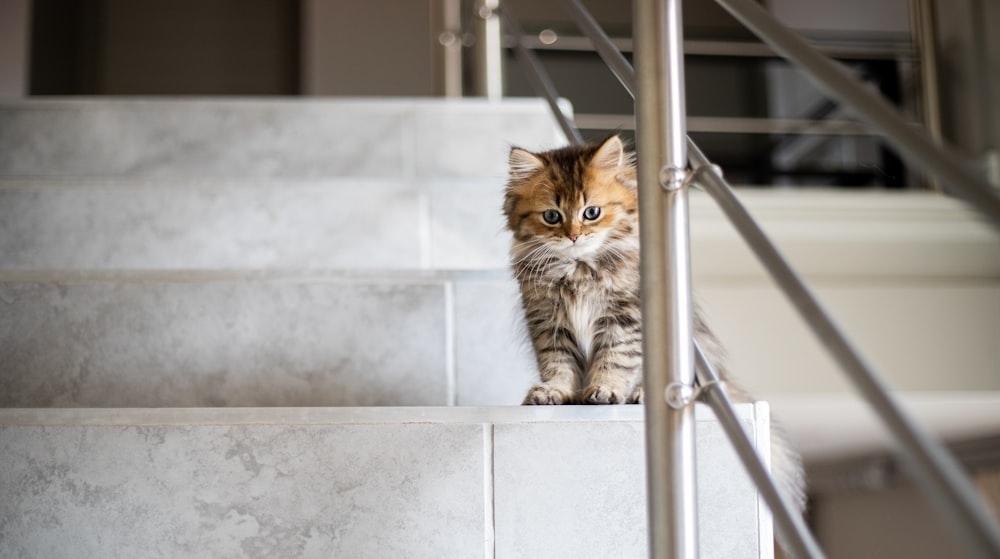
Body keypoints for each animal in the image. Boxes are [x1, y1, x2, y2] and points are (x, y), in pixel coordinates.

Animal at [500, 136, 804, 512]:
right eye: (552, 217)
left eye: (591, 213)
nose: (573, 236)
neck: (578, 269)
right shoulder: (549, 324)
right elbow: (557, 366)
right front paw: (554, 392)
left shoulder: (623, 320)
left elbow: (614, 360)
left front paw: (604, 390)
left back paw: (642, 394)